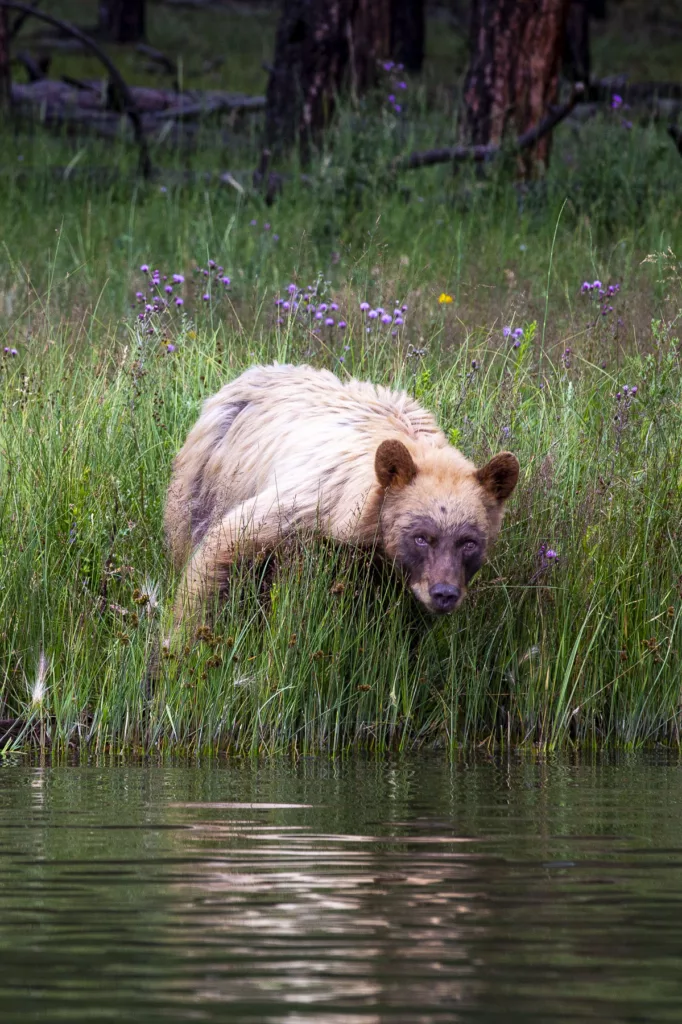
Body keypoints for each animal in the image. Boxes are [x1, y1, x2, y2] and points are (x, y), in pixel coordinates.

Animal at [163, 364, 516, 626]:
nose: (444, 594)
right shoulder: (309, 502)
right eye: (420, 536)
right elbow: (223, 548)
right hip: (205, 482)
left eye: (469, 542)